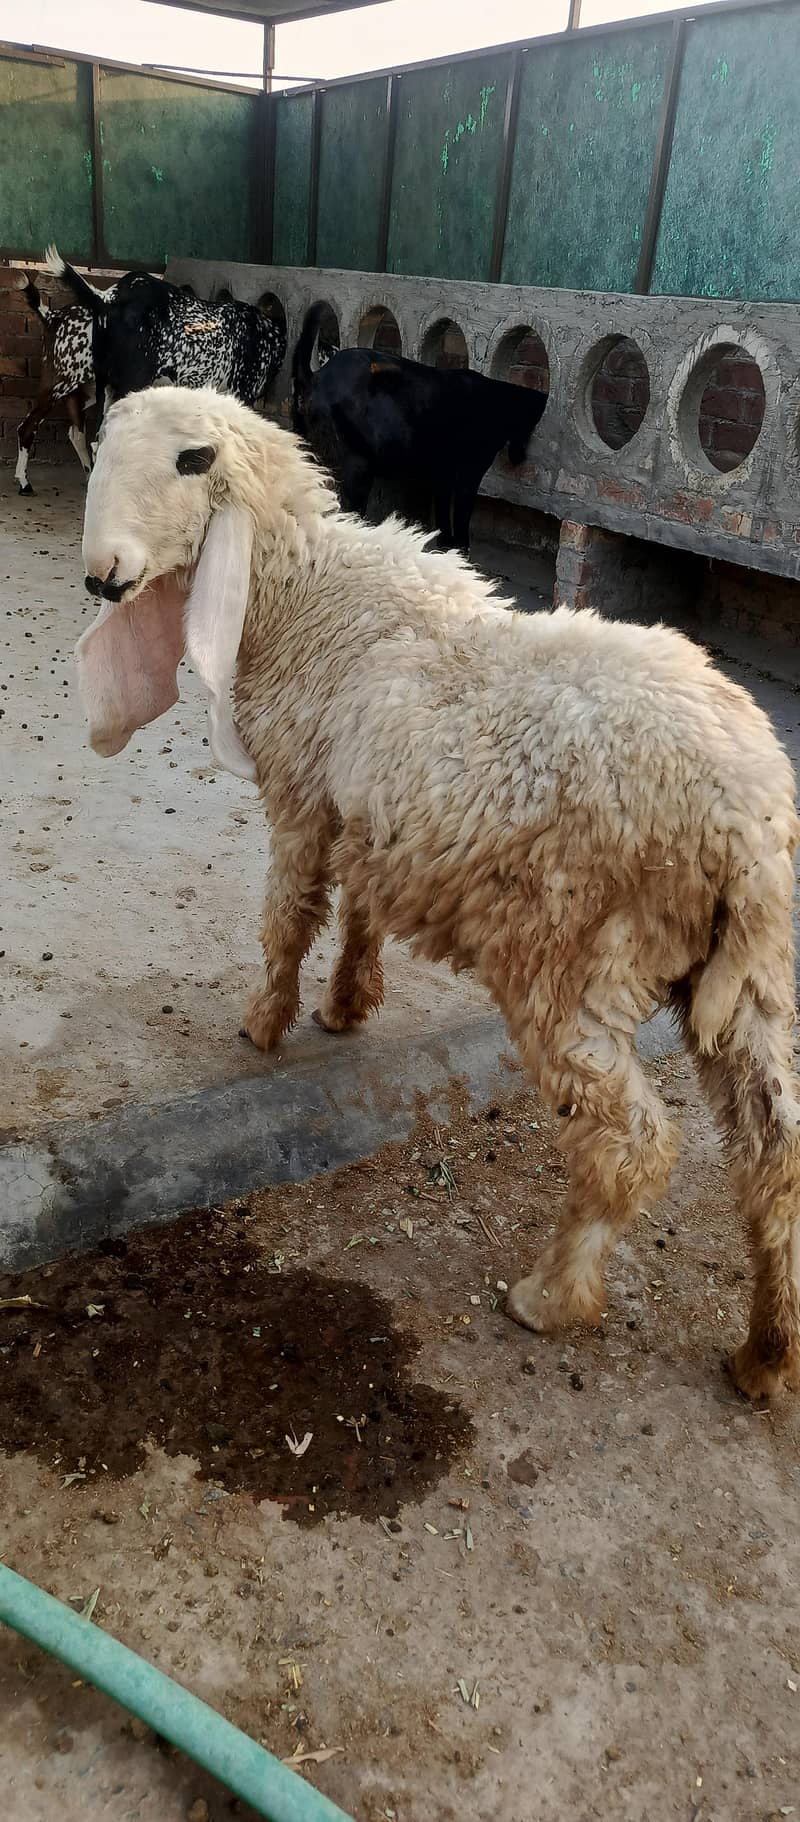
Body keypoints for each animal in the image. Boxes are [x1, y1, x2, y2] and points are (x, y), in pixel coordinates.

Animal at [76, 384, 800, 1402]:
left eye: (189, 461)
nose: (102, 577)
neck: (303, 599)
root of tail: (748, 827)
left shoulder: (303, 797)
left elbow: (289, 916)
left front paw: (265, 1023)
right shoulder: (372, 810)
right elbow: (362, 914)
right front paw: (347, 1004)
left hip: (573, 959)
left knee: (632, 1144)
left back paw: (552, 1295)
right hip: (745, 980)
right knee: (778, 1159)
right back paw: (765, 1353)